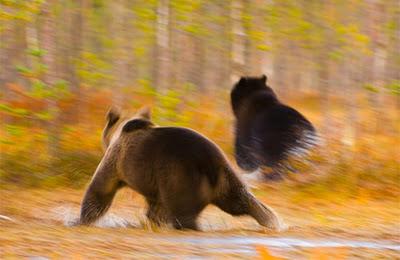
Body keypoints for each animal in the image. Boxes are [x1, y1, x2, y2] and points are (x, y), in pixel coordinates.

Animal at [76, 105, 284, 230]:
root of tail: (209, 164)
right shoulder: (154, 183)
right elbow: (155, 207)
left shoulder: (118, 160)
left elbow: (100, 190)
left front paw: (82, 219)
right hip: (225, 176)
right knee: (240, 200)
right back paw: (272, 220)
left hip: (180, 176)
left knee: (184, 215)